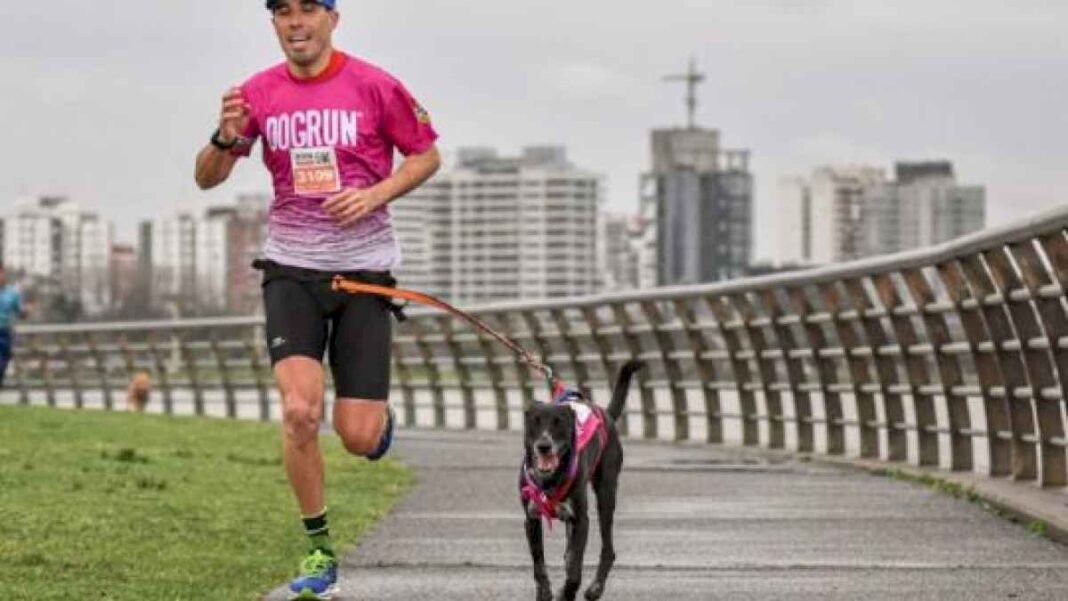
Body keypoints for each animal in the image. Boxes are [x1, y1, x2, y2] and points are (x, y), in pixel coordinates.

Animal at [519, 360, 640, 597]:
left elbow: (575, 570)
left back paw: (595, 588)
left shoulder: (581, 520)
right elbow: (539, 565)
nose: (544, 446)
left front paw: (566, 593)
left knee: (607, 548)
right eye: (535, 422)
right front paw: (544, 592)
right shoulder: (531, 518)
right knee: (570, 552)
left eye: (558, 422)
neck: (550, 480)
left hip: (606, 493)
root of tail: (605, 414)